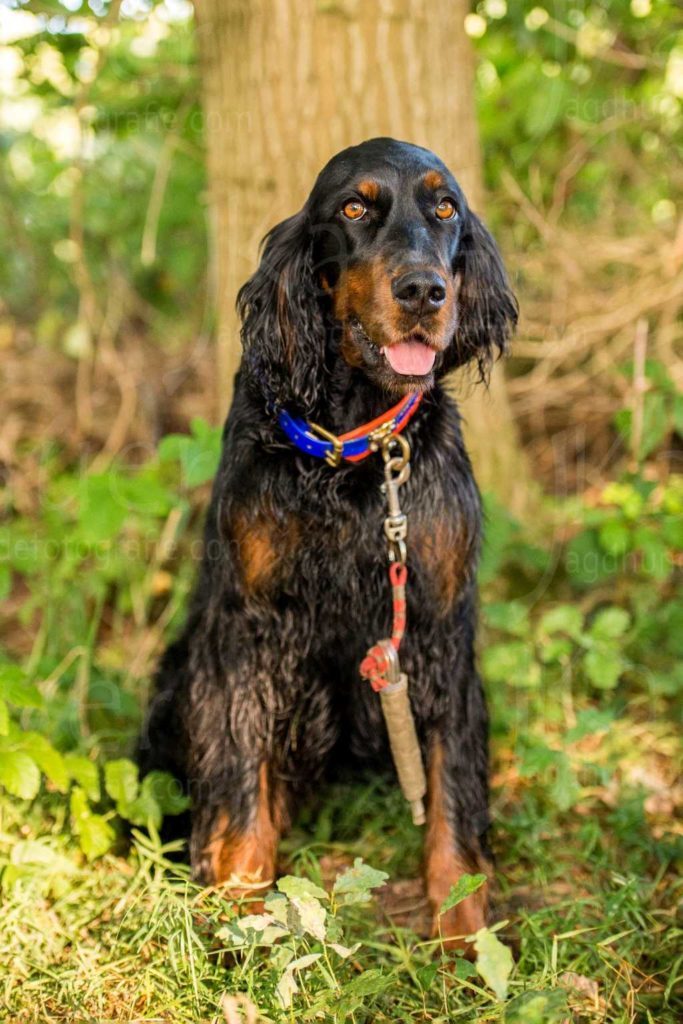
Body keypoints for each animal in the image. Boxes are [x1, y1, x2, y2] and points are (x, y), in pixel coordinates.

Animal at [139, 136, 518, 950]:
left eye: (445, 208)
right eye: (352, 208)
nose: (424, 291)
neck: (354, 447)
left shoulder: (438, 625)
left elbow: (452, 787)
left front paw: (463, 923)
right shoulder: (247, 631)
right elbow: (238, 771)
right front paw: (239, 901)